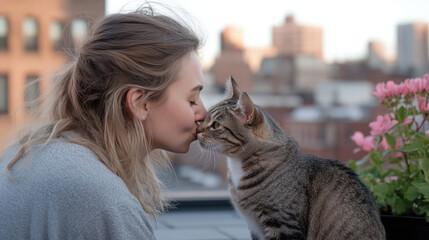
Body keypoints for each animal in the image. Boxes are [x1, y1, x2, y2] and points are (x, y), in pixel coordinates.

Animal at [196, 77, 384, 240]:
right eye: (204, 119)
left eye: (216, 125)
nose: (197, 129)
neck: (238, 166)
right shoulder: (255, 228)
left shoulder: (282, 224)